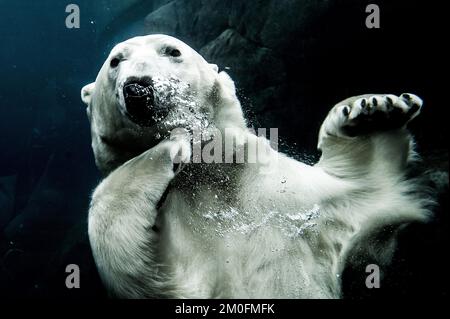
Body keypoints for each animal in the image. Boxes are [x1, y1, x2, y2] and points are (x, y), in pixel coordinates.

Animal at [81, 33, 432, 298]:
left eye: (172, 51)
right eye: (115, 61)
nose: (138, 88)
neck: (215, 180)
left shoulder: (311, 202)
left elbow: (371, 183)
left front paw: (377, 110)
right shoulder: (192, 251)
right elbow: (140, 274)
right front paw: (169, 146)